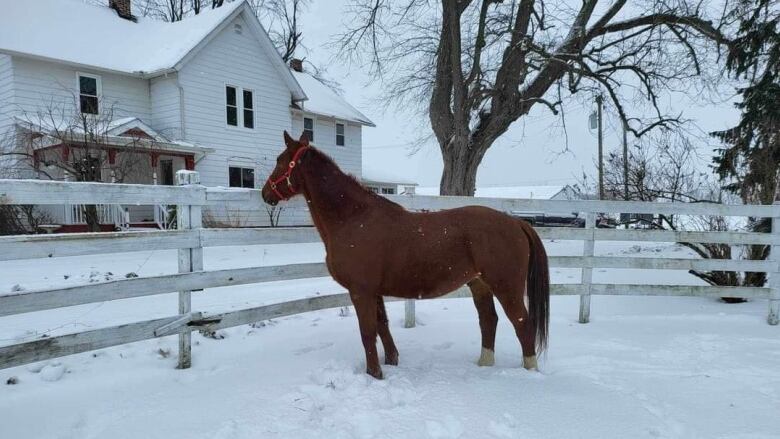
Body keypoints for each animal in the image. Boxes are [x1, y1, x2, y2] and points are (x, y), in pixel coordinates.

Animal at [262, 132, 548, 380]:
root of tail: (515, 222)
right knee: (489, 320)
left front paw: (374, 374)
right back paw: (484, 365)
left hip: (506, 287)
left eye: (280, 160)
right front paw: (391, 361)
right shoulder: (373, 291)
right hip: (479, 284)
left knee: (522, 324)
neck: (354, 218)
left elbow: (367, 331)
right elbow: (382, 325)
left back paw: (530, 373)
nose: (265, 193)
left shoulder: (361, 291)